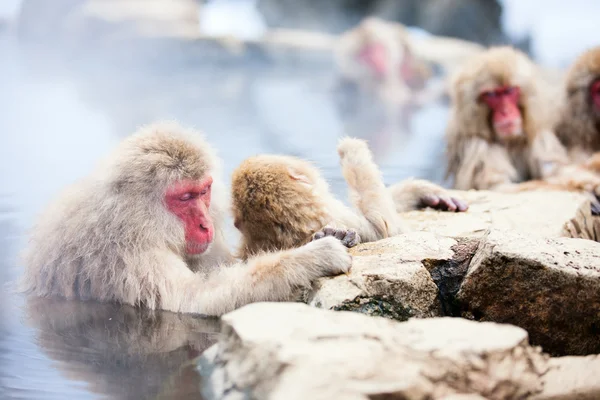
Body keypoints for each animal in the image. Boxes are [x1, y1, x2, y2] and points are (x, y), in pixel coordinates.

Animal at [19, 121, 352, 316]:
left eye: (203, 191)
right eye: (184, 198)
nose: (205, 224)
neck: (132, 216)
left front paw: (330, 234)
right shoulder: (128, 253)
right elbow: (191, 301)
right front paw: (313, 256)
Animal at [442, 46, 600, 199]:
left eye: (510, 91)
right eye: (491, 95)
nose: (505, 111)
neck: (509, 141)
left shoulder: (537, 133)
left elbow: (556, 170)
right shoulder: (476, 145)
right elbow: (500, 188)